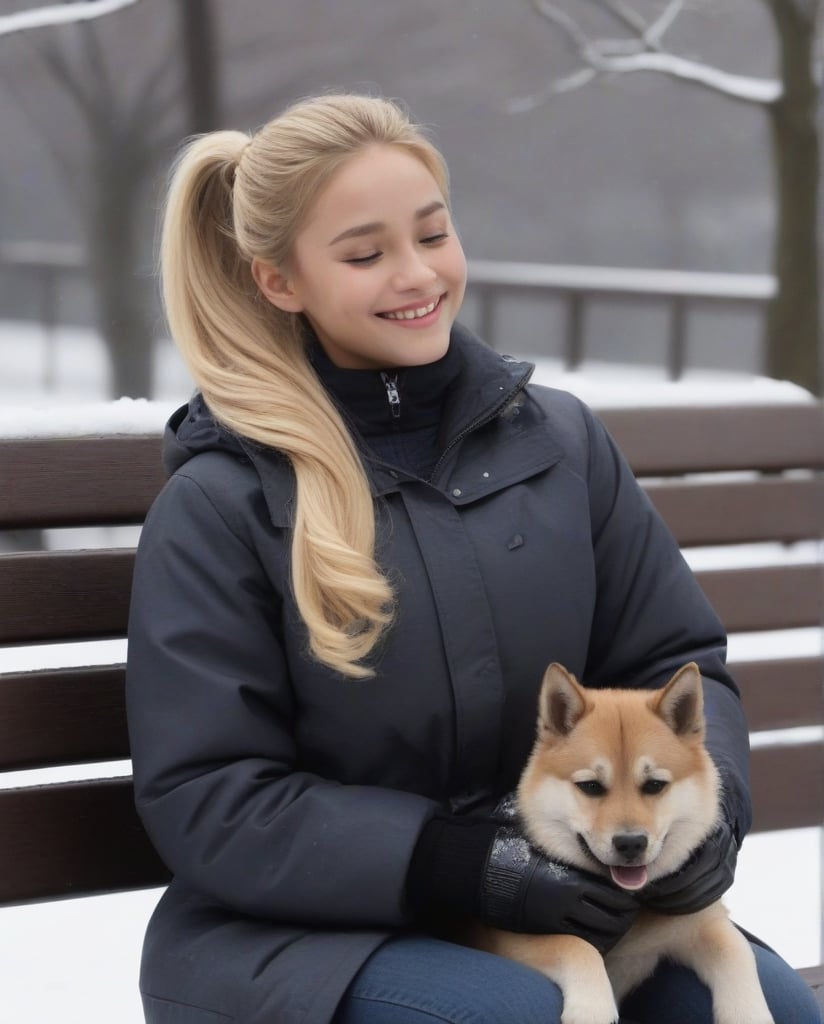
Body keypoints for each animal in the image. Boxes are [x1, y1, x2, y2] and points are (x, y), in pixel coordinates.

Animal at [474, 663, 769, 1024]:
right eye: (590, 786)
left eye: (655, 785)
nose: (631, 843)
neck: (633, 906)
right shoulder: (509, 939)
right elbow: (576, 945)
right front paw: (591, 1009)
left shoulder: (702, 924)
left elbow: (738, 953)